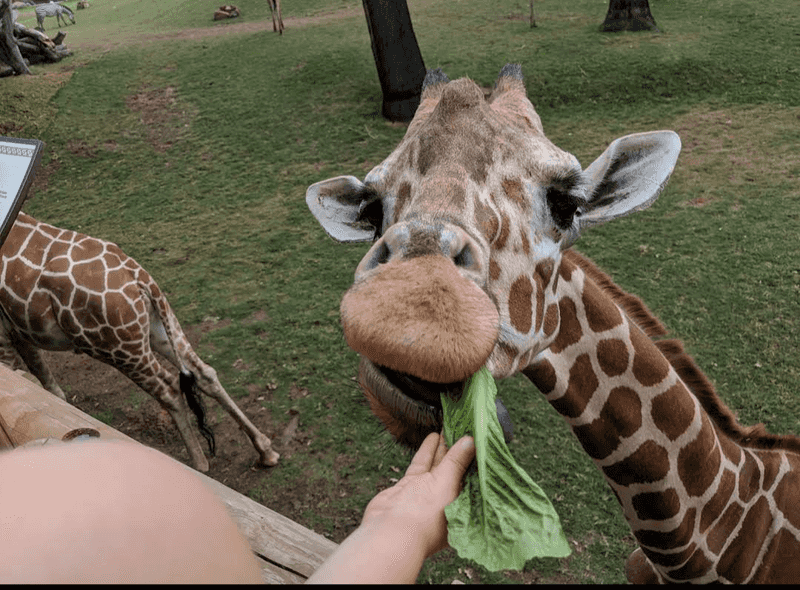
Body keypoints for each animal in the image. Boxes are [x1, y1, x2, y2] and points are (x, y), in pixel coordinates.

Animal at [0, 212, 280, 473]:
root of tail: (140, 280)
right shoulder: (17, 331)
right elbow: (49, 387)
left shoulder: (4, 338)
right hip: (158, 323)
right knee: (204, 372)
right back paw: (266, 451)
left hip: (117, 347)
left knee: (169, 390)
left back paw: (199, 465)